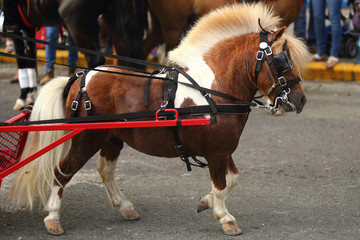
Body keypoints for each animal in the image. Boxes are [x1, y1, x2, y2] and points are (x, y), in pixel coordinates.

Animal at [9, 2, 310, 236]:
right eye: (282, 60)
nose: (300, 100)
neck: (214, 90)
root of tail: (81, 77)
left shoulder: (223, 150)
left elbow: (232, 180)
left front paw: (205, 202)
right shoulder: (216, 152)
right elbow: (222, 186)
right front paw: (225, 217)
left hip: (111, 138)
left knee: (105, 170)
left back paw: (124, 205)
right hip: (87, 138)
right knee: (63, 171)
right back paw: (53, 217)